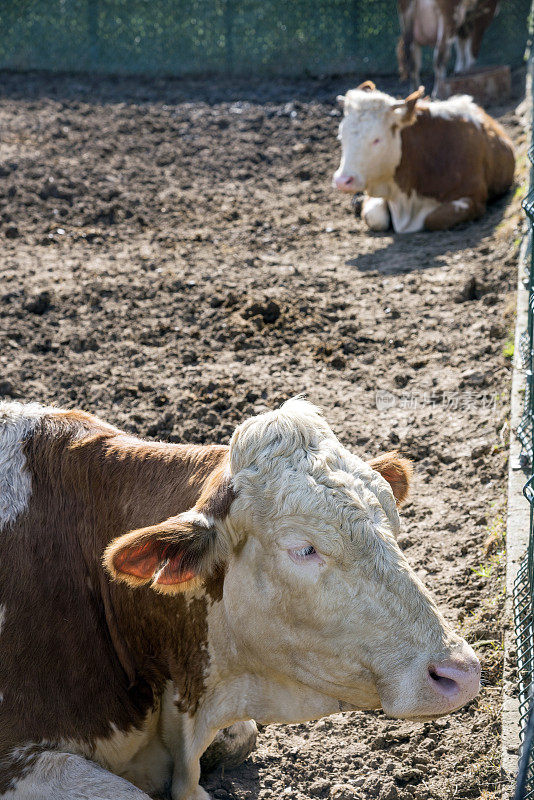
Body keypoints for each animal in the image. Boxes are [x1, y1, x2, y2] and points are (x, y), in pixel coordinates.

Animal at [336, 83, 516, 234]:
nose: (343, 181)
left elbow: (432, 219)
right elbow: (375, 218)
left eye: (376, 139)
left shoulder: (474, 198)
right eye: (341, 135)